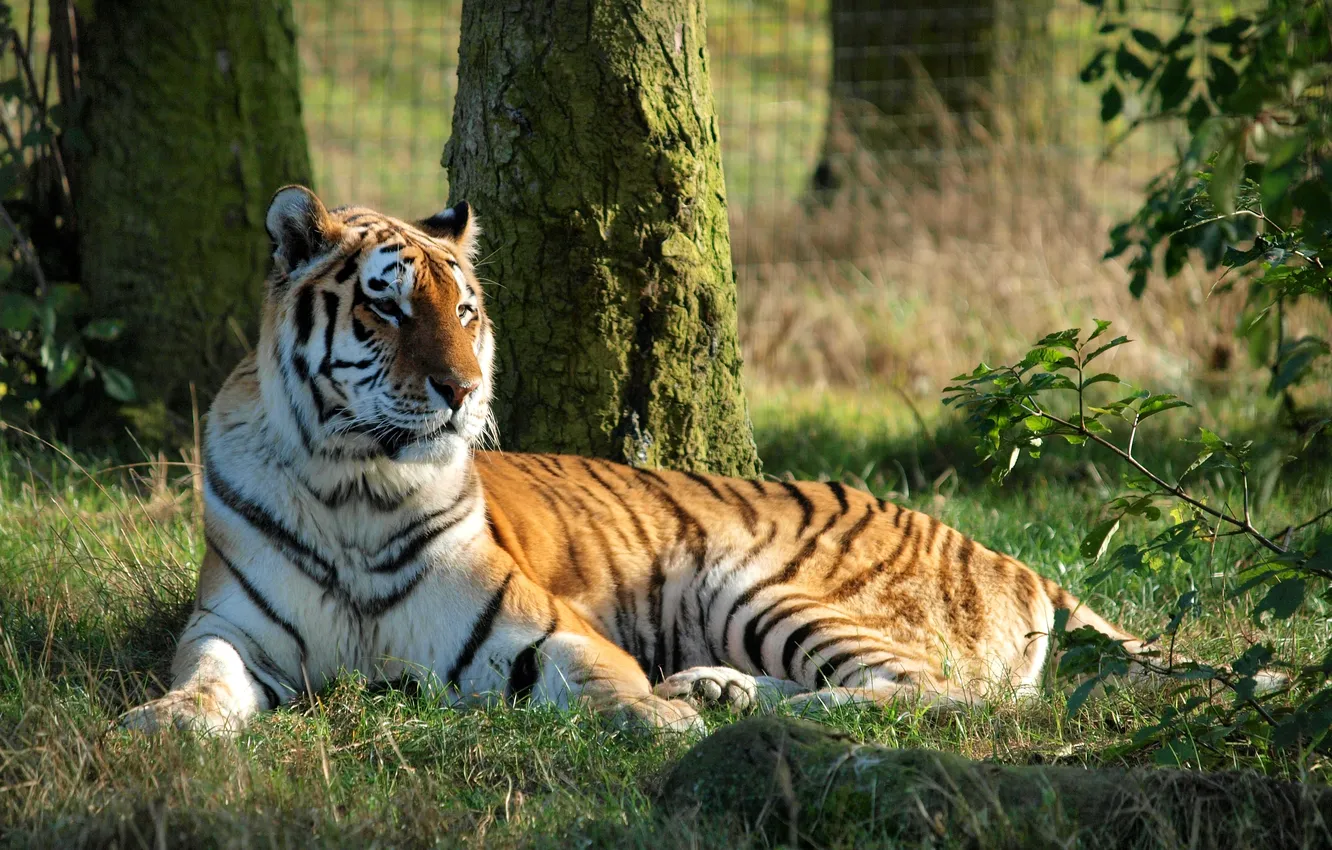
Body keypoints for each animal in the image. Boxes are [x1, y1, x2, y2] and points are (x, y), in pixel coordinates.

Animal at [121, 185, 1152, 736]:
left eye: (463, 311)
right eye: (386, 306)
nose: (463, 390)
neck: (355, 484)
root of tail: (1002, 553)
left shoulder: (540, 628)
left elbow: (604, 682)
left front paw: (663, 722)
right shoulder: (231, 628)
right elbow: (201, 678)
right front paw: (162, 725)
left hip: (758, 581)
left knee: (937, 697)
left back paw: (738, 707)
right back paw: (716, 687)